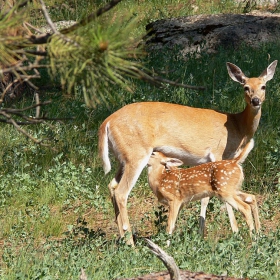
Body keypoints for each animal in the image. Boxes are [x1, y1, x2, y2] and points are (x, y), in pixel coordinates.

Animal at [98, 59, 278, 245]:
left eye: (263, 86)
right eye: (245, 87)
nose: (256, 100)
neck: (238, 126)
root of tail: (106, 122)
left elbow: (205, 198)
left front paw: (201, 233)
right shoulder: (217, 152)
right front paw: (234, 231)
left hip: (123, 158)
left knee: (112, 185)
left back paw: (121, 237)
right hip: (136, 153)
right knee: (122, 192)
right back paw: (131, 243)